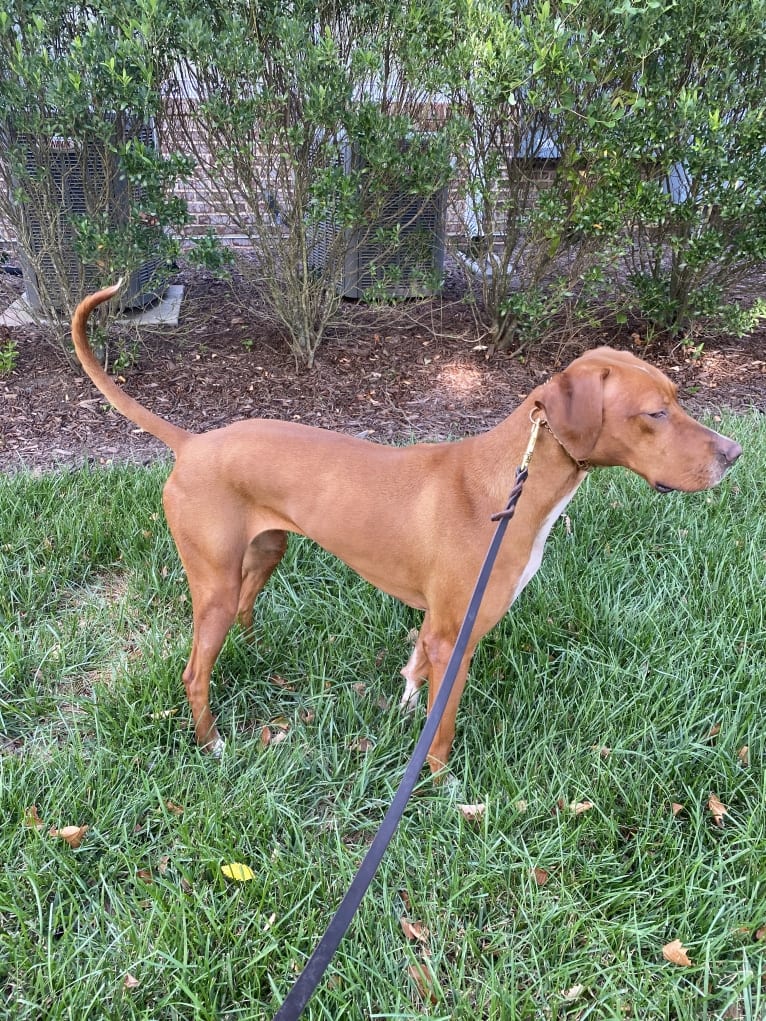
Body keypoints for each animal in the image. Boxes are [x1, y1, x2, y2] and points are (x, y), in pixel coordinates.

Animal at [72, 283, 743, 767]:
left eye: (677, 396)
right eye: (654, 414)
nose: (734, 453)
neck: (510, 487)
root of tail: (193, 443)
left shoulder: (437, 626)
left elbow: (414, 674)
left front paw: (403, 710)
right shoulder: (458, 637)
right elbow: (440, 728)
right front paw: (444, 788)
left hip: (264, 554)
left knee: (242, 613)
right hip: (211, 581)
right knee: (194, 671)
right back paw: (211, 743)